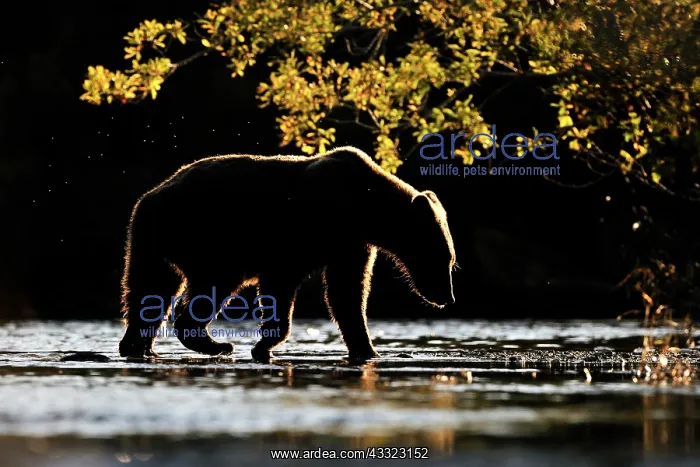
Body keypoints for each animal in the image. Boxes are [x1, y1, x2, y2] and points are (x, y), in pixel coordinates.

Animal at [118, 146, 457, 362]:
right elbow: (282, 284)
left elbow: (347, 292)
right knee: (209, 285)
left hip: (153, 241)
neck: (365, 208)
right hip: (207, 234)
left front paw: (367, 348)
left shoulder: (351, 243)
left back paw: (138, 345)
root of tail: (149, 196)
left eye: (451, 262)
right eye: (443, 258)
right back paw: (215, 344)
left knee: (148, 289)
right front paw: (264, 344)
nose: (447, 297)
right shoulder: (302, 233)